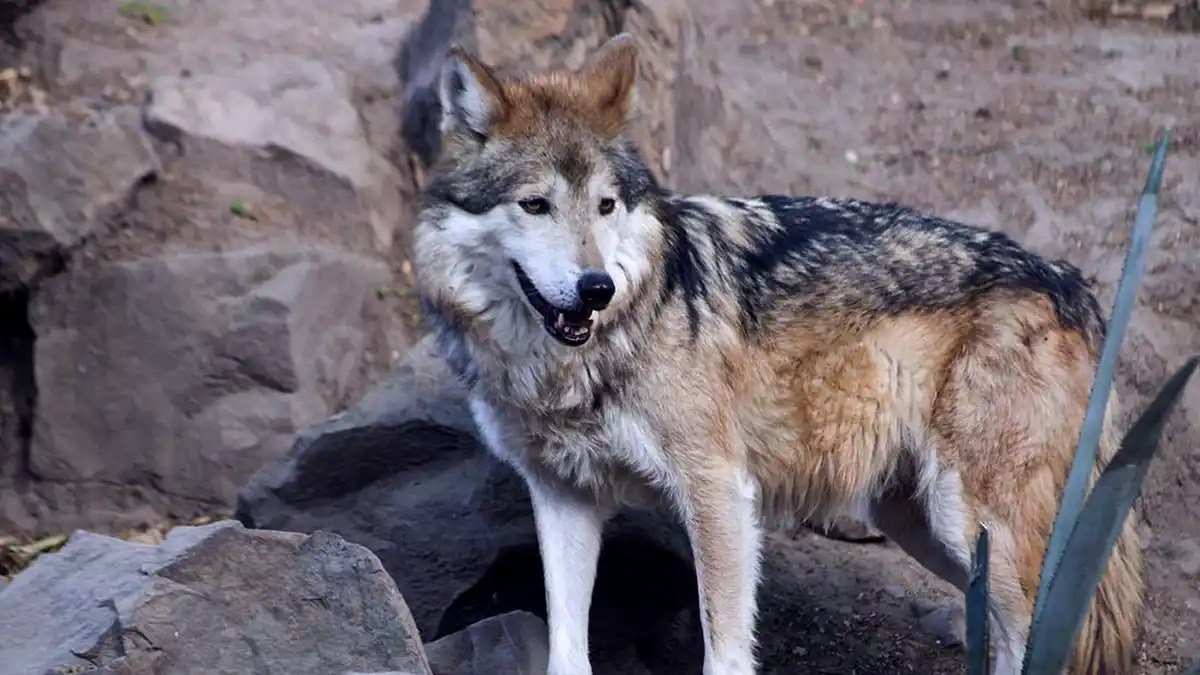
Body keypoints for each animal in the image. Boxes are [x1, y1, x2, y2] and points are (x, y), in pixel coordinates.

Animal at [411, 33, 1144, 675]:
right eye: (535, 204)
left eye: (605, 205)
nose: (596, 288)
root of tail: (1070, 283)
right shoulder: (564, 497)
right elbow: (566, 650)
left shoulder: (718, 491)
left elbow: (725, 651)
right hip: (920, 522)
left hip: (969, 518)